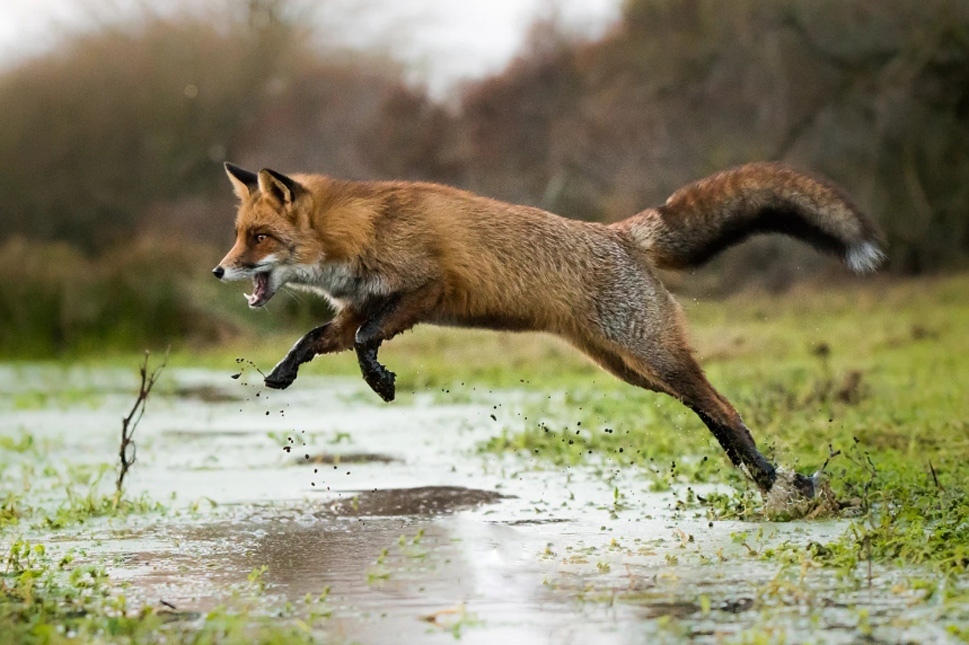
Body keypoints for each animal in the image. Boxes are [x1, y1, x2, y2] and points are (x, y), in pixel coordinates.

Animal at [214, 161, 884, 498]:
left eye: (259, 238)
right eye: (241, 234)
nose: (219, 269)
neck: (363, 230)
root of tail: (620, 232)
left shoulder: (428, 289)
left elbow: (362, 342)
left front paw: (380, 380)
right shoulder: (364, 304)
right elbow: (316, 338)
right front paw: (282, 372)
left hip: (651, 356)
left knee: (723, 407)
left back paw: (772, 479)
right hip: (633, 370)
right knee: (710, 410)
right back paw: (762, 474)